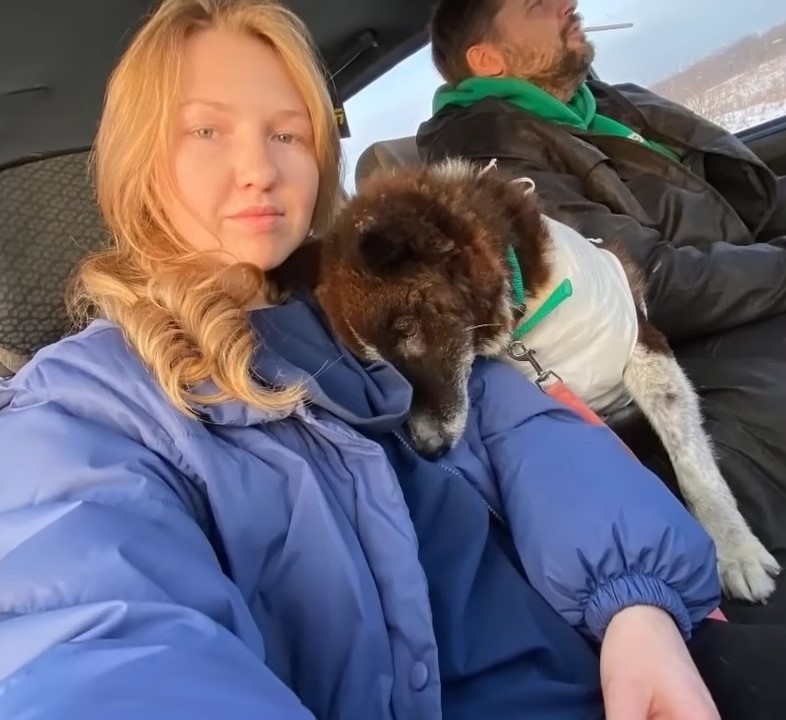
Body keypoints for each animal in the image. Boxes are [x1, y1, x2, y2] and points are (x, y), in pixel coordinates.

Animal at [316, 158, 780, 600]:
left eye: (407, 328)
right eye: (377, 367)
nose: (429, 449)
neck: (523, 309)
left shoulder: (643, 345)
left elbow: (694, 465)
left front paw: (736, 551)